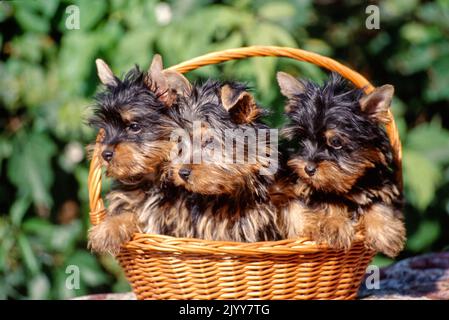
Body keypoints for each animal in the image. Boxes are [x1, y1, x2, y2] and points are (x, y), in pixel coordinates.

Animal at [86, 55, 188, 255]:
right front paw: (107, 229)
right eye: (105, 128)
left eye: (134, 126)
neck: (153, 178)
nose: (105, 153)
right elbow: (131, 213)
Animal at [274, 72, 404, 258]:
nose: (308, 169)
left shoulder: (379, 183)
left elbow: (378, 201)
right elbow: (327, 202)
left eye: (335, 141)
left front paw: (386, 232)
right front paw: (335, 226)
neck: (347, 184)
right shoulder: (307, 188)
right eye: (302, 139)